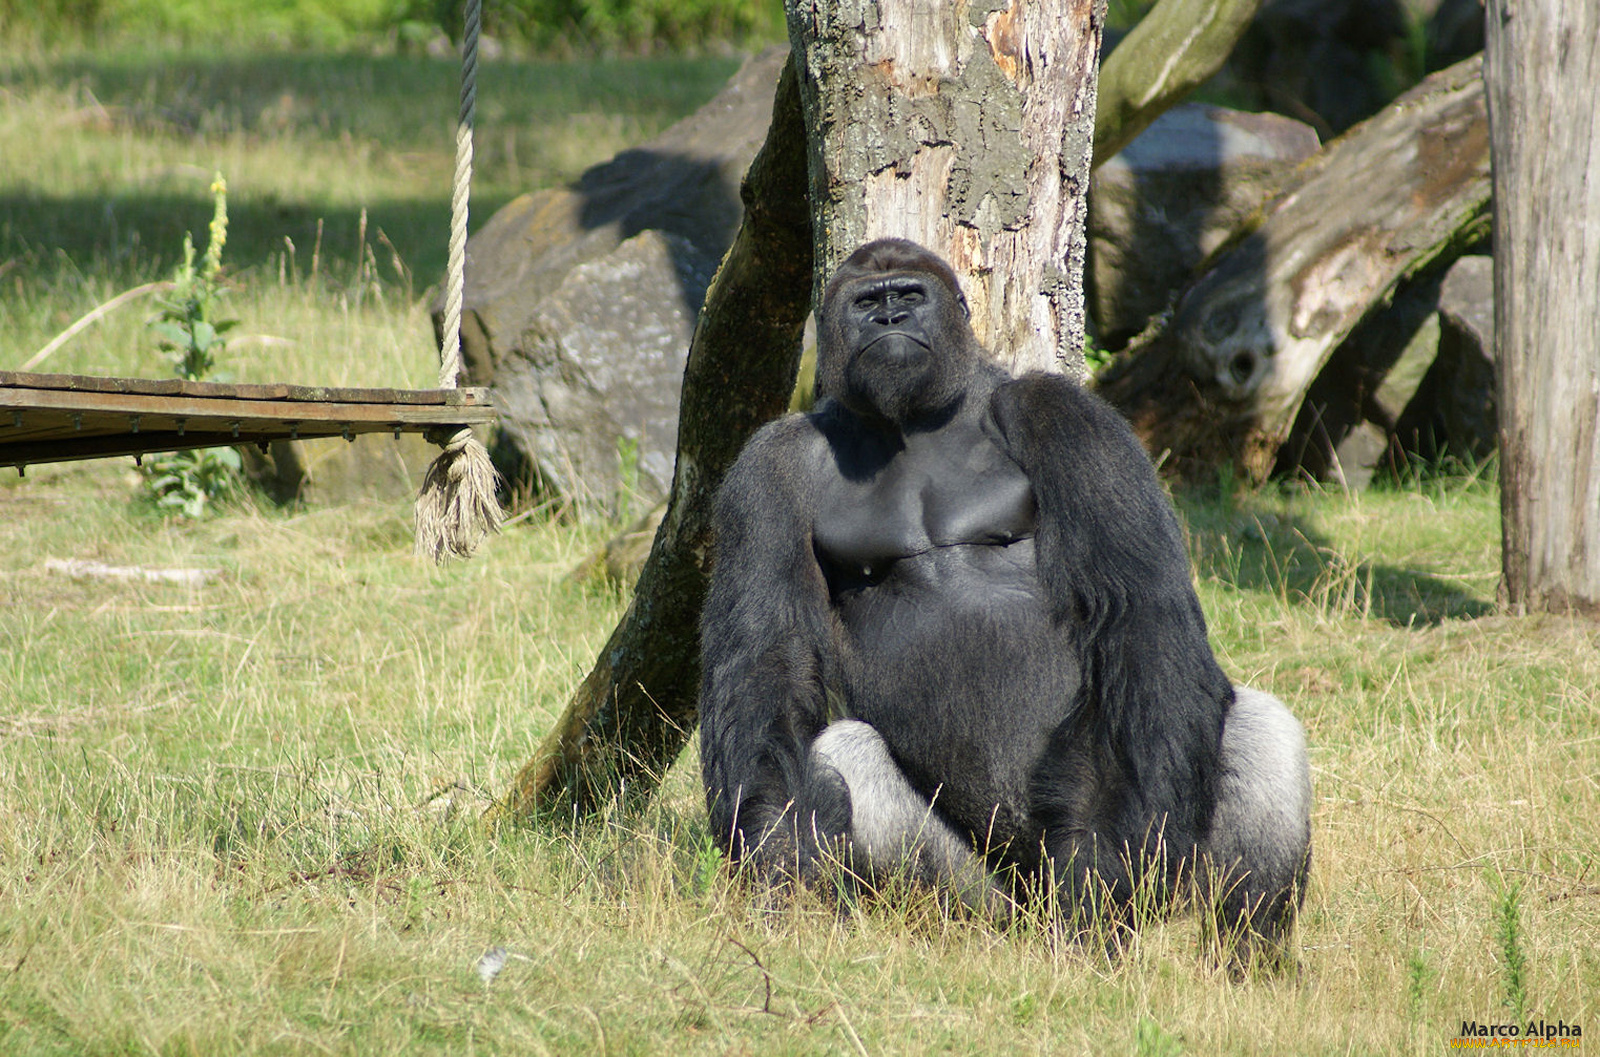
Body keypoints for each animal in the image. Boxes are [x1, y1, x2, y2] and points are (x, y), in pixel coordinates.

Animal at [700, 241, 1312, 959]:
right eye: (866, 301)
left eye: (909, 295)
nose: (888, 321)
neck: (914, 417)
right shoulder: (769, 467)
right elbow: (768, 663)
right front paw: (775, 860)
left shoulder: (1065, 415)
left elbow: (1140, 616)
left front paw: (1122, 858)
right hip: (996, 905)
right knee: (851, 759)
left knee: (1255, 724)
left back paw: (1237, 961)